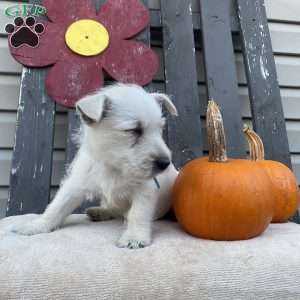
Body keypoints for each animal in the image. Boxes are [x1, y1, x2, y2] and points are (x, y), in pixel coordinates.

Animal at [12, 84, 178, 248]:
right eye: (134, 130)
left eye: (160, 129)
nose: (165, 163)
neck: (114, 165)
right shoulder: (75, 184)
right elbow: (57, 206)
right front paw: (37, 225)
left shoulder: (145, 189)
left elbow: (138, 213)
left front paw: (134, 236)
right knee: (113, 210)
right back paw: (100, 212)